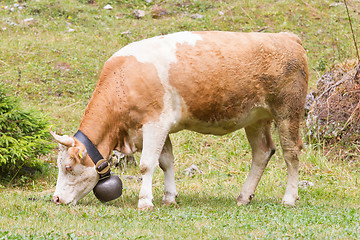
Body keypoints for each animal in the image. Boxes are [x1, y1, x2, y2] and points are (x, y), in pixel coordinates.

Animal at [50, 31, 310, 209]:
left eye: (68, 167)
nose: (56, 198)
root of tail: (286, 37)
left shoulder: (155, 123)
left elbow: (147, 164)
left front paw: (145, 201)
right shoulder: (154, 128)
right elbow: (166, 162)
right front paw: (169, 197)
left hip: (288, 111)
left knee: (291, 153)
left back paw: (289, 198)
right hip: (256, 118)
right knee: (262, 152)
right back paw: (244, 196)